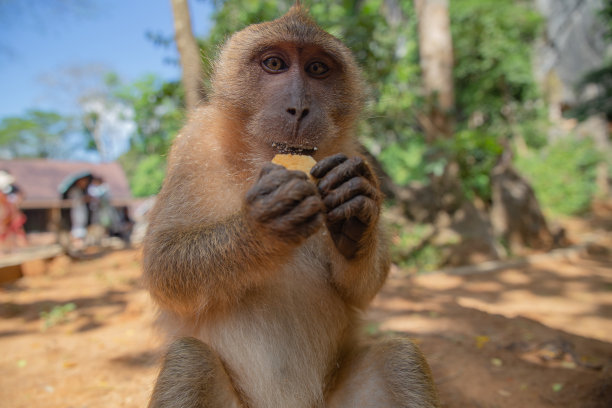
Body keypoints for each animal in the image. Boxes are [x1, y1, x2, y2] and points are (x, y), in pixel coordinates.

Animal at [143, 3, 440, 408]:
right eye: (274, 64)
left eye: (317, 69)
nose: (299, 108)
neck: (254, 163)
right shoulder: (193, 145)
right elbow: (163, 264)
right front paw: (262, 228)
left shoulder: (354, 154)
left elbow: (361, 289)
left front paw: (356, 217)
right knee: (191, 362)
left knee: (400, 358)